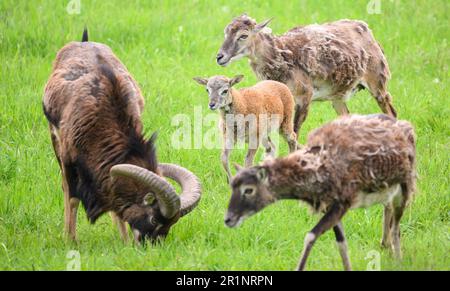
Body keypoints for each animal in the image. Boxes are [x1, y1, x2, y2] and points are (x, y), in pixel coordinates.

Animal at [218, 15, 398, 138]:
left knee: (391, 112)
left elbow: (294, 132)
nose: (220, 57)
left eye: (243, 35)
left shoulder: (304, 96)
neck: (282, 55)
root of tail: (368, 32)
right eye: (225, 33)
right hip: (337, 97)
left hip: (378, 82)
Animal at [225, 114, 414, 272]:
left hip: (404, 188)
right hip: (388, 190)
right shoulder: (329, 206)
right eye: (232, 186)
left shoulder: (342, 204)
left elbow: (310, 236)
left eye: (248, 190)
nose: (228, 219)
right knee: (388, 211)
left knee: (396, 226)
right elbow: (341, 242)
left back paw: (397, 258)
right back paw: (385, 245)